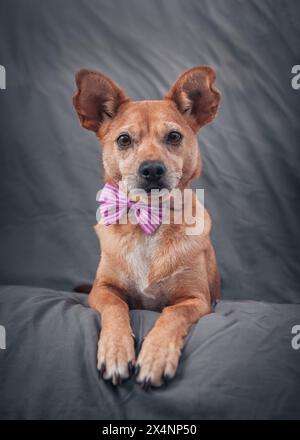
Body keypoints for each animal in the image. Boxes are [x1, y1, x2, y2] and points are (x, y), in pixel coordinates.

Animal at [74, 66, 221, 388]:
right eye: (124, 140)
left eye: (174, 136)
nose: (152, 169)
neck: (148, 220)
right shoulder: (102, 290)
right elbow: (116, 308)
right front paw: (116, 352)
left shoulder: (196, 300)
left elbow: (171, 315)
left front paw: (155, 357)